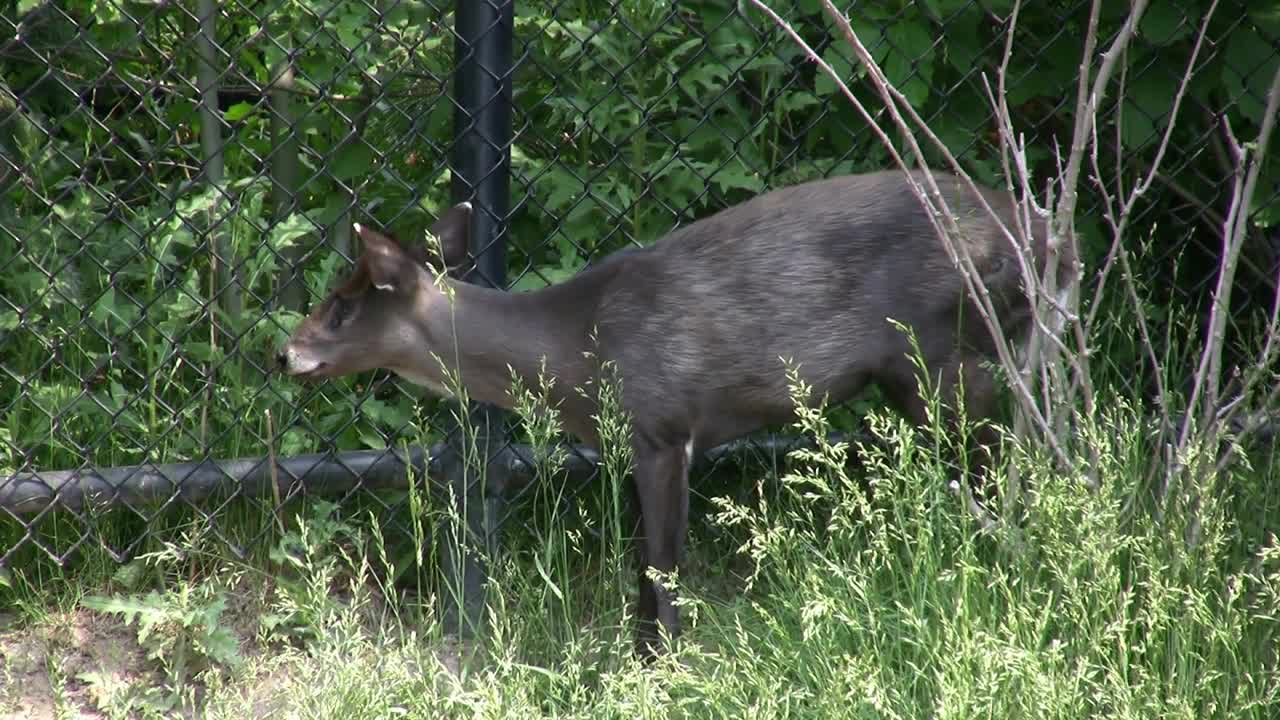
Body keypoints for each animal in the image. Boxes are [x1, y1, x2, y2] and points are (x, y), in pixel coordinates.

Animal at [280, 166, 1070, 655]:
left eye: (343, 304)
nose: (285, 353)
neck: (577, 349)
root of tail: (1051, 238)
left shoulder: (663, 423)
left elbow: (661, 566)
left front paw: (663, 668)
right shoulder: (632, 444)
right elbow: (643, 569)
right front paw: (640, 661)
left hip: (944, 355)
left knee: (1018, 466)